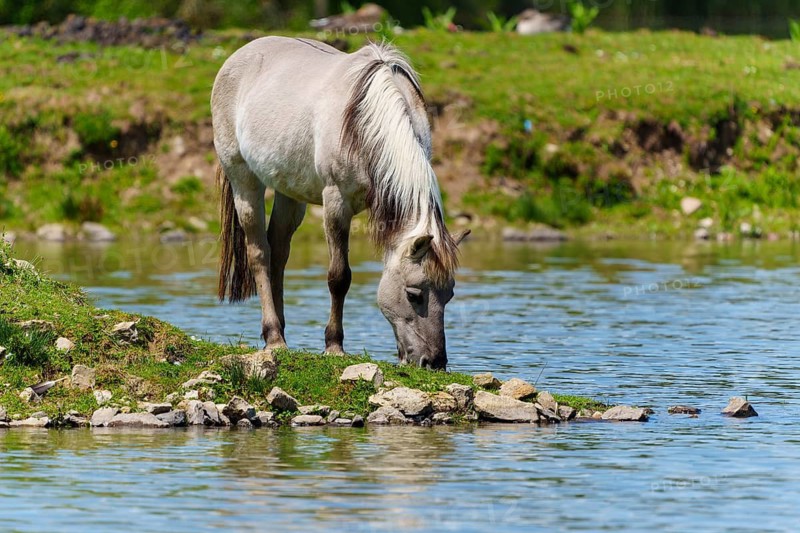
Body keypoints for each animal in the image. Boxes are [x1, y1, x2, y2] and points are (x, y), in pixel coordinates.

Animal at [211, 36, 469, 370]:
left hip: (288, 191)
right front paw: (334, 346)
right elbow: (339, 276)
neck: (367, 119)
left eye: (449, 295)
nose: (434, 362)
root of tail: (239, 56)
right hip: (243, 180)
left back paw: (280, 332)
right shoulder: (336, 202)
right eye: (414, 295)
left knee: (277, 253)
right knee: (259, 254)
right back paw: (273, 337)